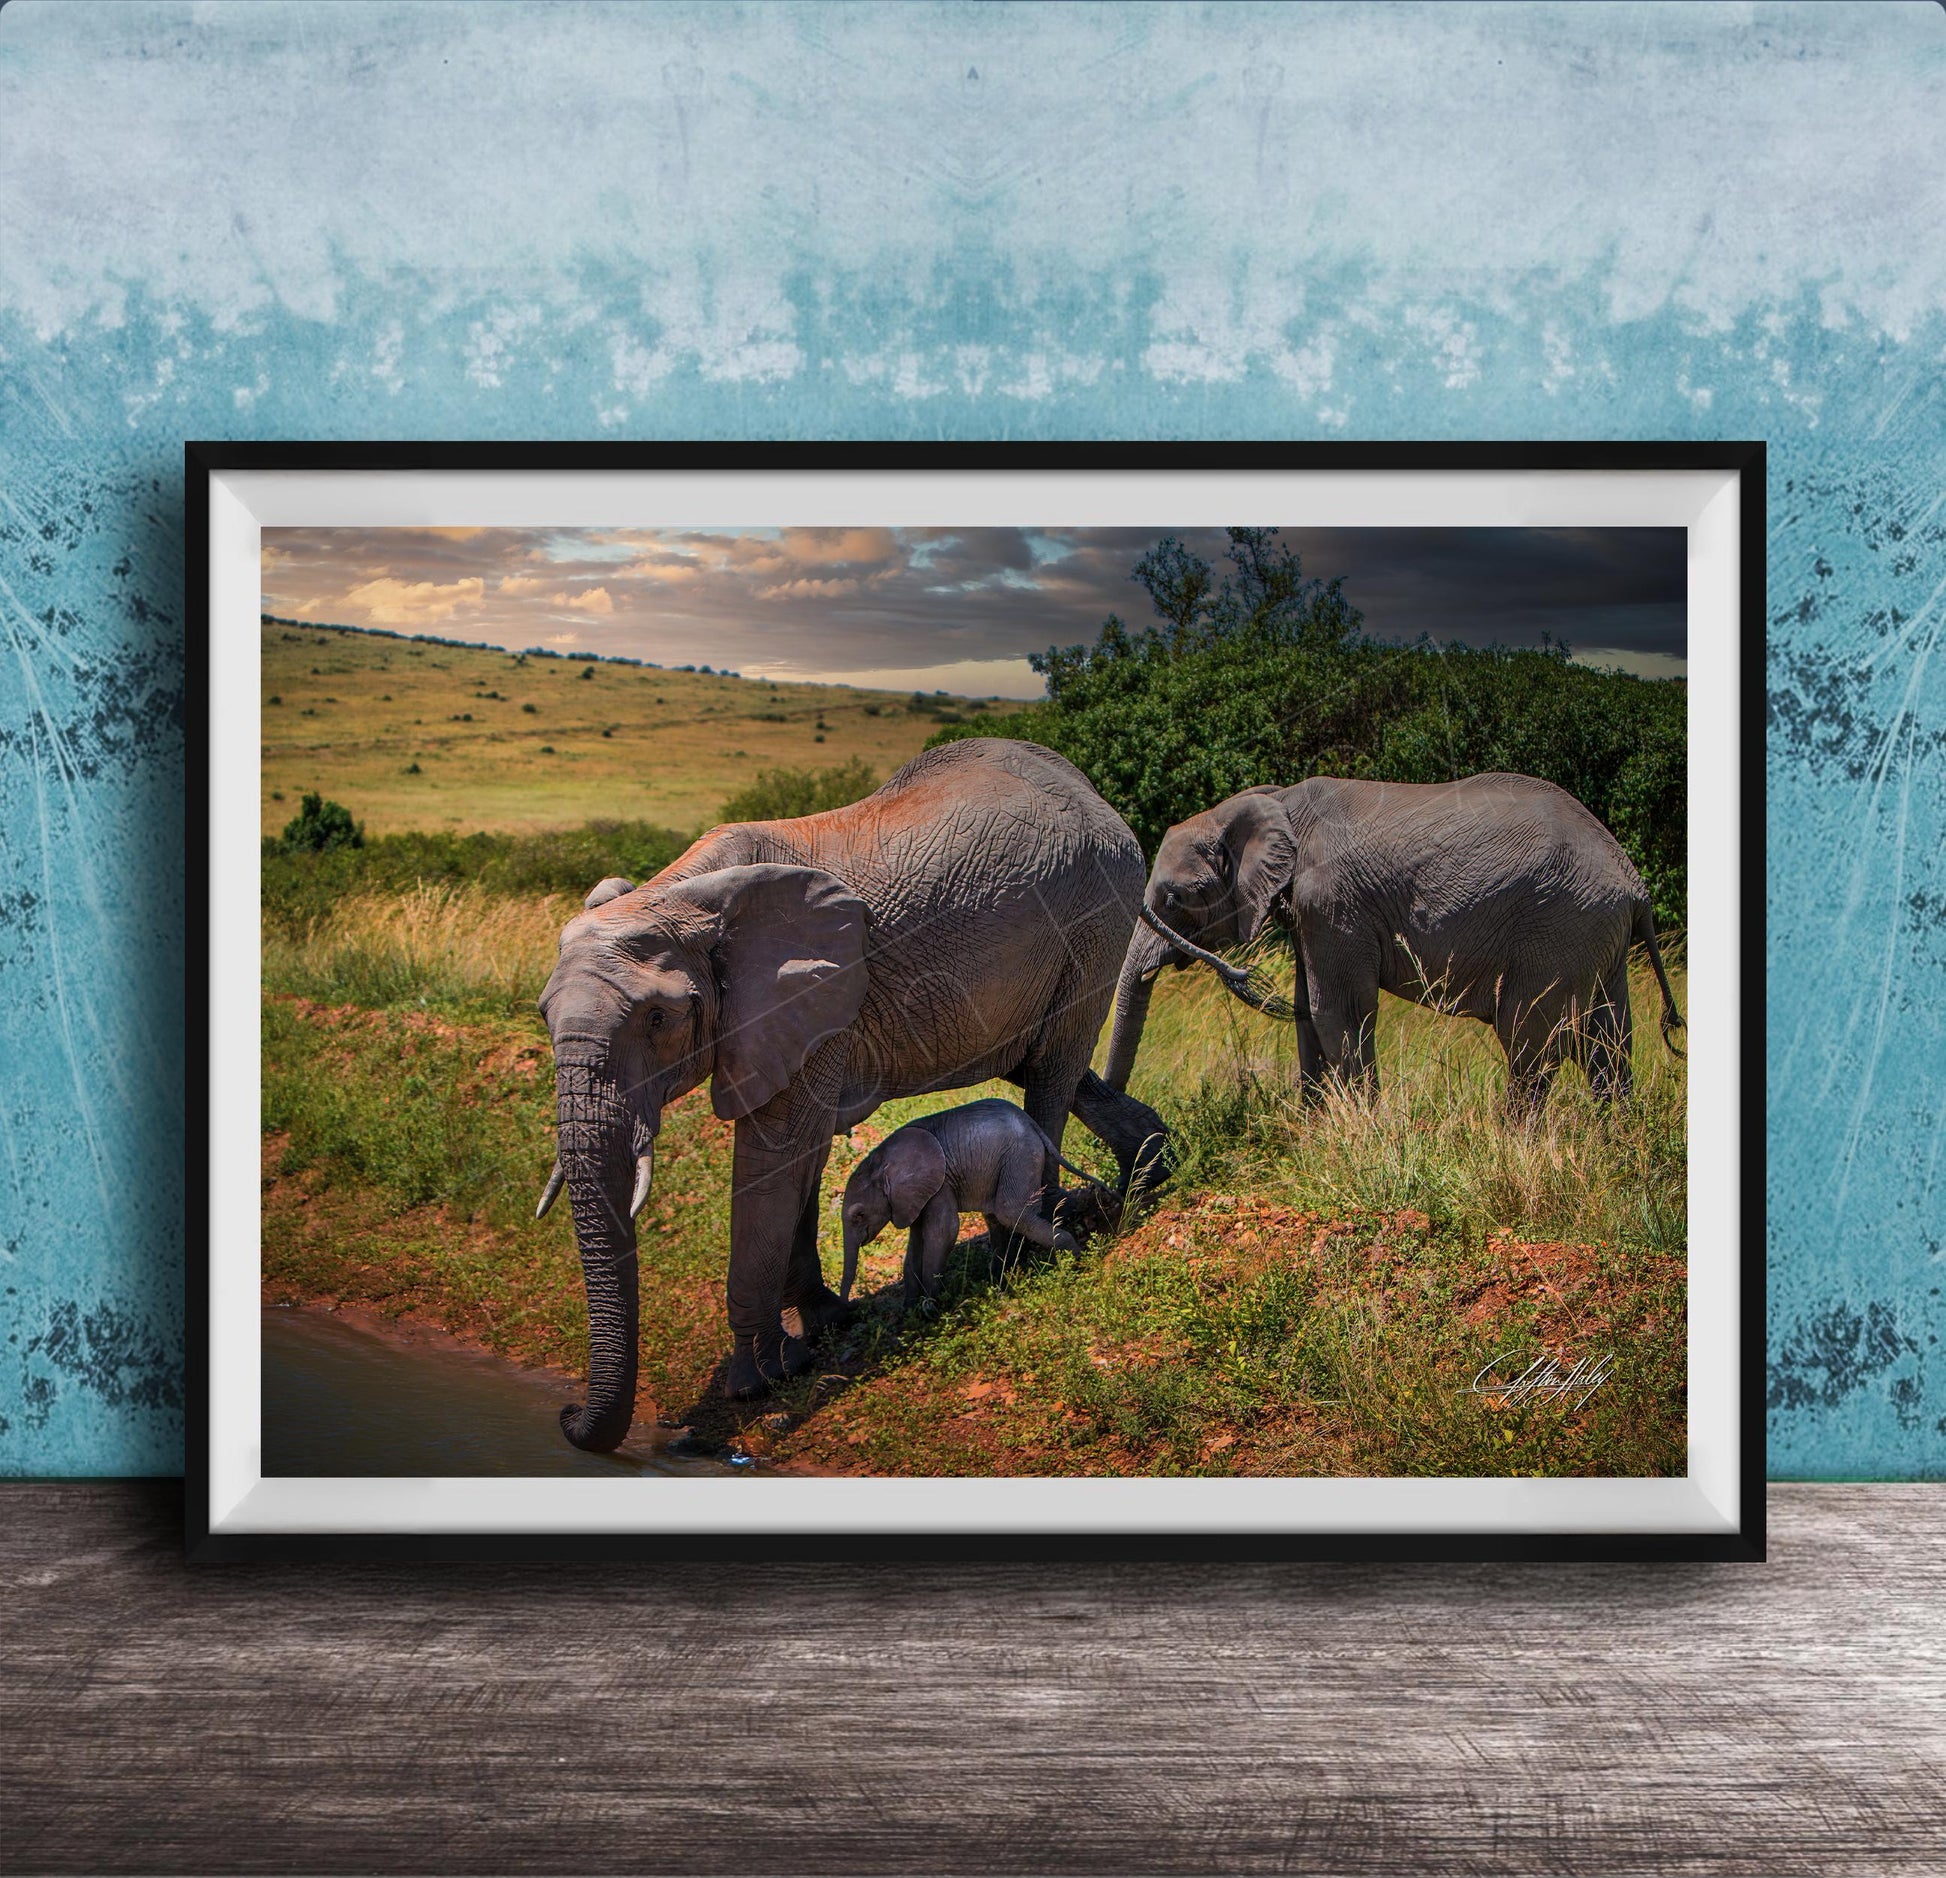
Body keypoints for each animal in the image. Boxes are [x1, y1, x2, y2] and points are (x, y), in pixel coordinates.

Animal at [838, 1098, 1089, 1310]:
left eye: (859, 1215)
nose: (851, 1307)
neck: (880, 1161)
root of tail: (1031, 1123)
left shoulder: (940, 1184)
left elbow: (943, 1232)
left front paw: (931, 1308)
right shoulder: (912, 1197)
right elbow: (916, 1242)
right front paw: (909, 1310)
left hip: (1020, 1155)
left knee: (1011, 1212)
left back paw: (1074, 1259)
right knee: (997, 1218)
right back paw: (999, 1282)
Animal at [1103, 772, 1684, 1116]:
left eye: (1176, 896)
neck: (1276, 801)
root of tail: (1635, 884)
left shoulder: (1333, 902)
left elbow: (1336, 1009)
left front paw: (1360, 1128)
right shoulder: (1314, 913)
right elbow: (1308, 1013)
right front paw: (1314, 1131)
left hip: (1562, 927)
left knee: (1530, 1040)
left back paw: (1517, 1139)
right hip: (1598, 937)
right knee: (1608, 1039)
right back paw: (1612, 1140)